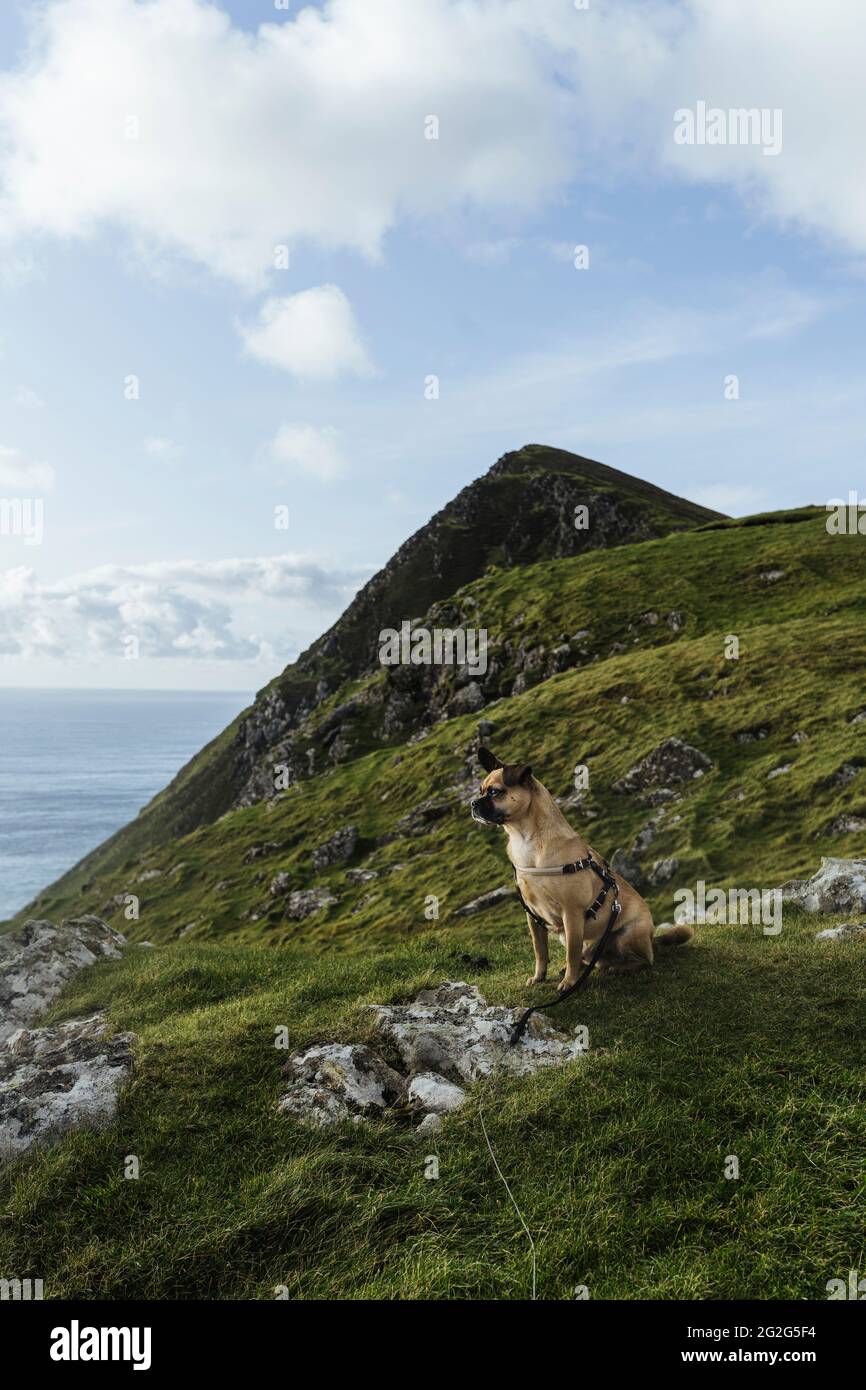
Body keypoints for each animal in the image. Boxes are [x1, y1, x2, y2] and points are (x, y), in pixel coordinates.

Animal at [469, 750, 695, 989]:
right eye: (481, 791)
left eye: (495, 792)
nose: (473, 803)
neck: (525, 837)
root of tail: (652, 940)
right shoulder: (533, 917)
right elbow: (540, 951)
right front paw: (540, 976)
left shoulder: (572, 913)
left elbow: (571, 953)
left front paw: (570, 983)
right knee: (590, 958)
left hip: (627, 934)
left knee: (642, 960)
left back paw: (619, 967)